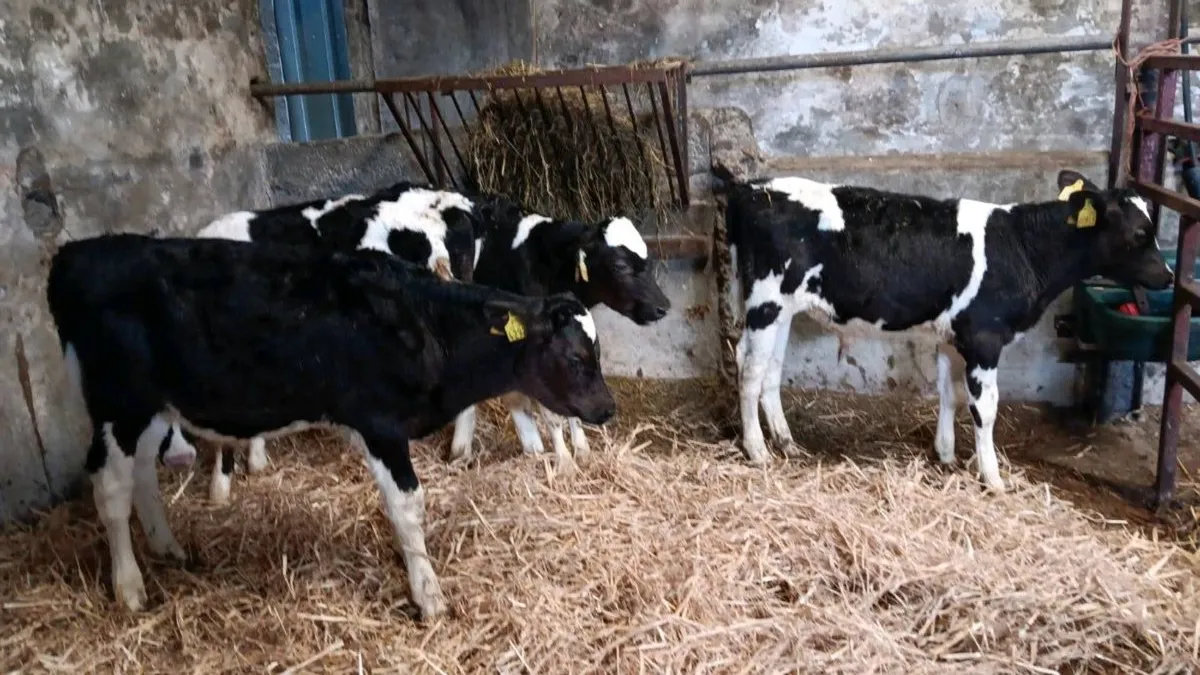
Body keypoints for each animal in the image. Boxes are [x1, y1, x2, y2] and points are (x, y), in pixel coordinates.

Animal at [46, 233, 616, 620]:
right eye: (575, 357)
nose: (608, 407)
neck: (426, 324)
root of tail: (76, 253)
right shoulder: (379, 422)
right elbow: (408, 506)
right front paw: (428, 596)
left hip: (150, 406)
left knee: (141, 472)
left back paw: (167, 549)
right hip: (118, 400)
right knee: (111, 486)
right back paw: (129, 587)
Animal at [446, 194, 671, 468]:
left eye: (648, 260)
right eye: (619, 265)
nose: (663, 307)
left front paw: (581, 450)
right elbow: (553, 412)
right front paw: (564, 462)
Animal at [713, 165, 1173, 490]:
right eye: (1139, 232)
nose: (1169, 274)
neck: (1024, 248)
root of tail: (750, 189)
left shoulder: (955, 336)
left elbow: (949, 395)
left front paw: (947, 455)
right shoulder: (985, 337)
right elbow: (985, 407)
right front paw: (993, 478)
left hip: (784, 307)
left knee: (768, 369)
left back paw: (786, 442)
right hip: (766, 300)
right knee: (749, 369)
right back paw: (757, 450)